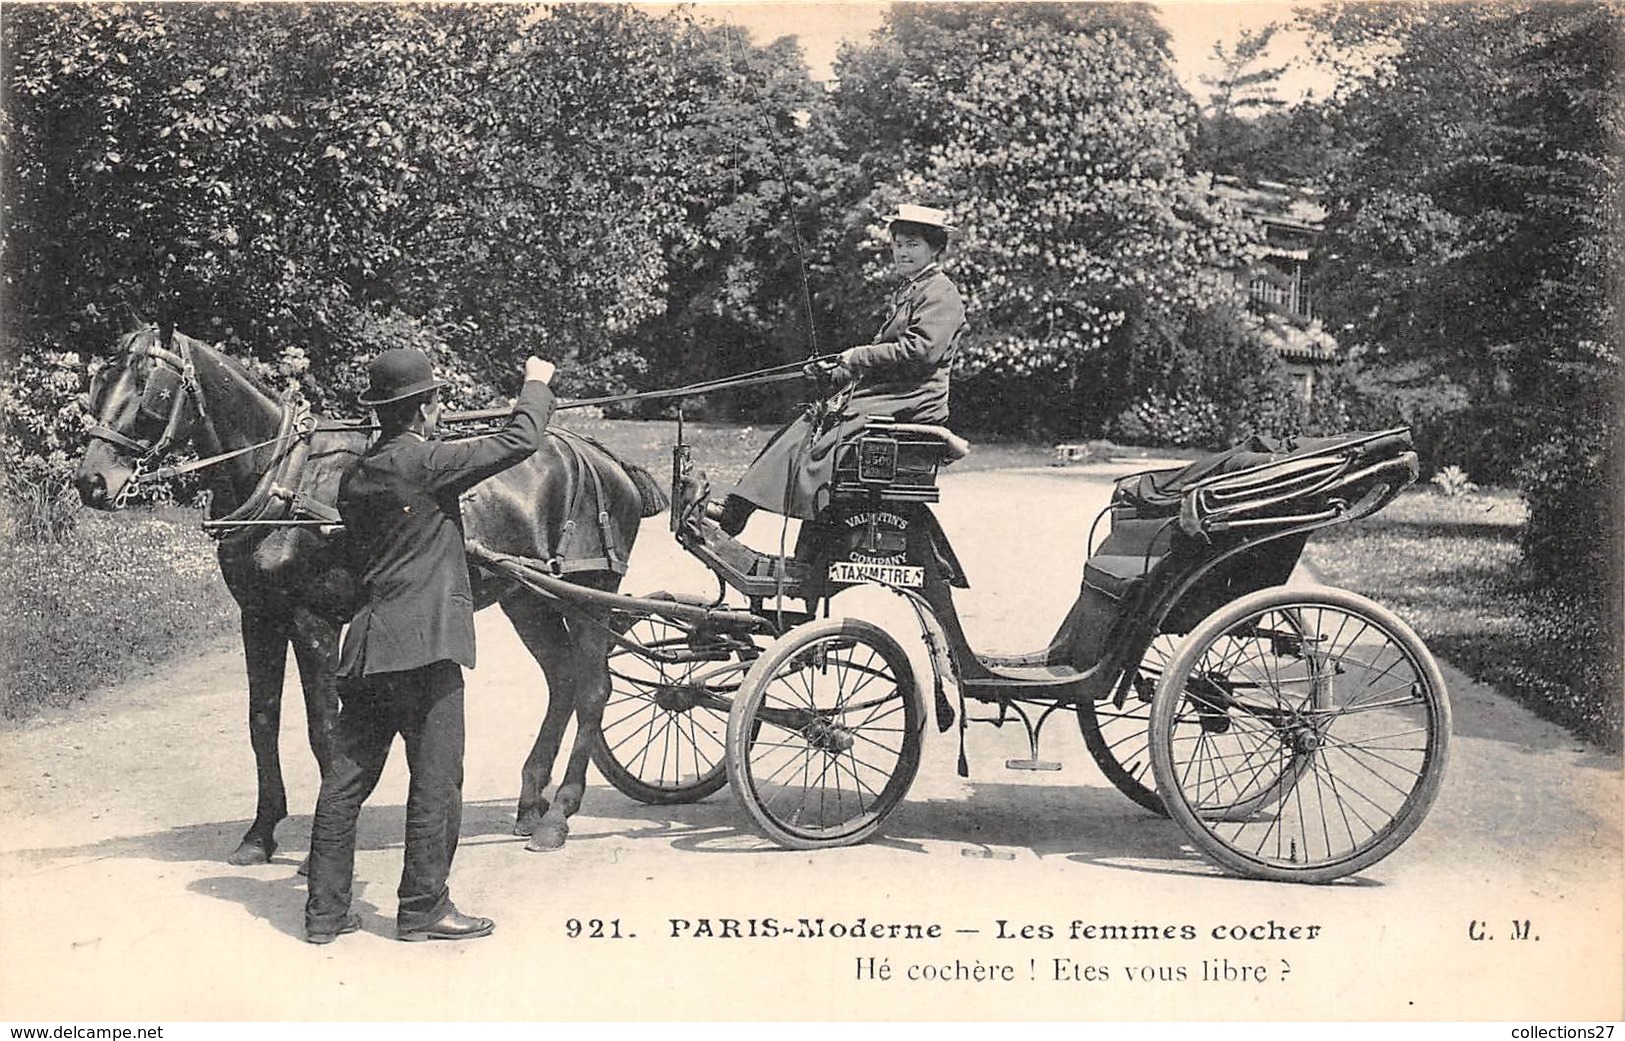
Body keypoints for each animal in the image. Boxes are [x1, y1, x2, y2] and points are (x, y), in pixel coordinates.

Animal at [73, 323, 669, 857]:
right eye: (100, 381)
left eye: (149, 389)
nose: (91, 482)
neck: (282, 478)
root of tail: (605, 459)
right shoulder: (258, 616)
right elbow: (262, 720)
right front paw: (260, 834)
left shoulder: (313, 621)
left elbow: (322, 727)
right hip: (528, 598)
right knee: (563, 681)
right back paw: (530, 803)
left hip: (590, 593)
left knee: (593, 689)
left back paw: (559, 814)